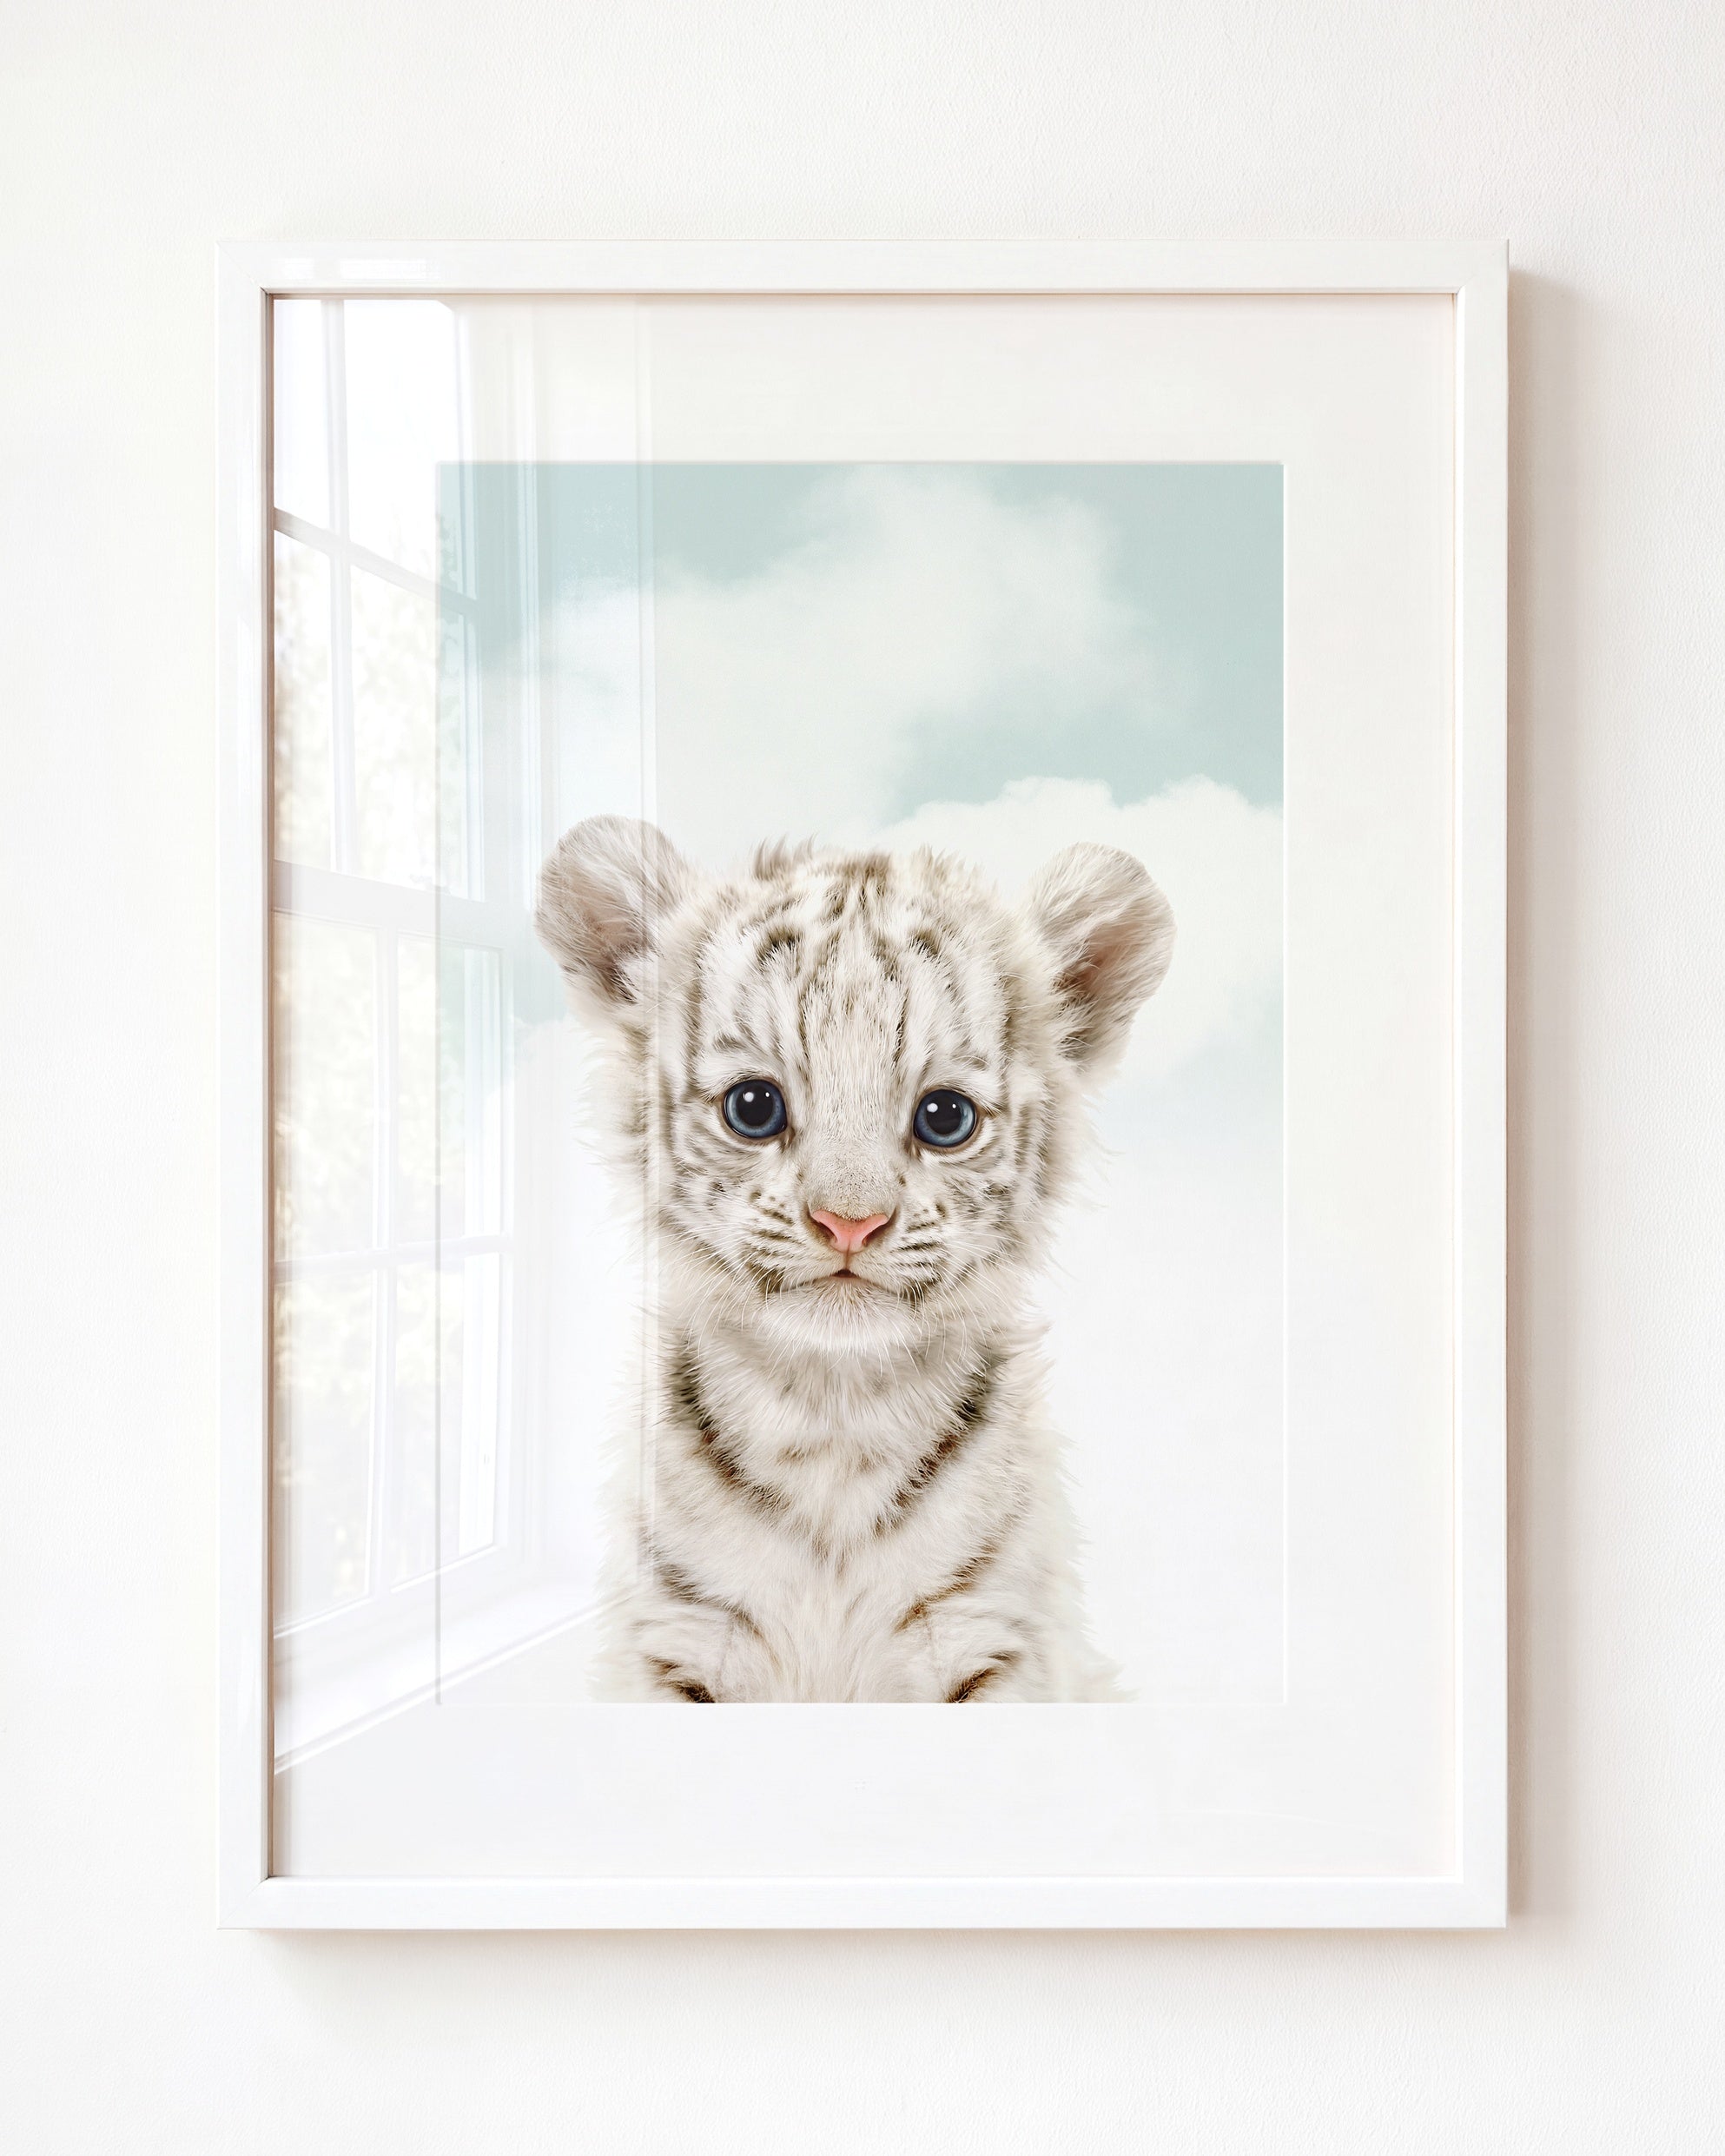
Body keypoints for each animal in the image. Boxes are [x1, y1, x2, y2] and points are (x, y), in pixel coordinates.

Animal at [535, 814, 1174, 1701]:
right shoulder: (677, 1640)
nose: (848, 1223)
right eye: (754, 1107)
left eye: (945, 1117)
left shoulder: (992, 1640)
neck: (832, 1417)